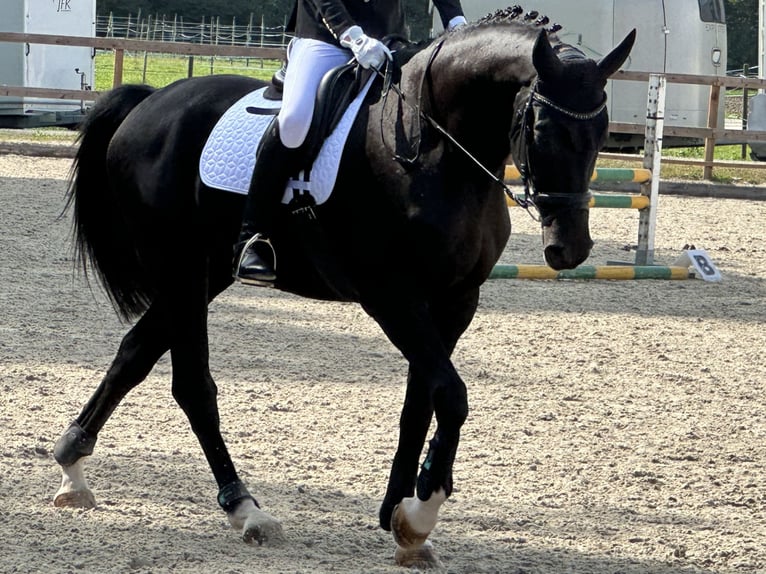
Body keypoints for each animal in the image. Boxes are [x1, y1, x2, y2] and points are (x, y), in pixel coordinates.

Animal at [54, 10, 640, 572]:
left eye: (601, 132)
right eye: (541, 128)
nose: (570, 249)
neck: (431, 150)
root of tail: (152, 103)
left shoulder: (455, 301)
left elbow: (421, 400)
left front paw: (401, 518)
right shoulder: (391, 298)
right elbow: (451, 395)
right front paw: (422, 511)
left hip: (203, 274)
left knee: (135, 352)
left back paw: (73, 467)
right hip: (180, 270)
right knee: (192, 385)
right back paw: (245, 509)